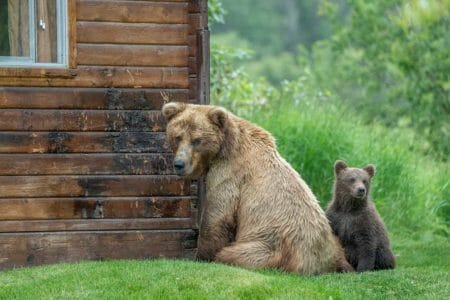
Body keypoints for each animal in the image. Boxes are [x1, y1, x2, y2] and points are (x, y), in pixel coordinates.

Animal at [161, 102, 352, 274]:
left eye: (196, 140)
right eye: (177, 137)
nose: (179, 164)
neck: (225, 148)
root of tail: (316, 264)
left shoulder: (230, 174)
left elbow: (217, 215)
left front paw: (201, 255)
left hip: (270, 245)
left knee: (233, 254)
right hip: (332, 242)